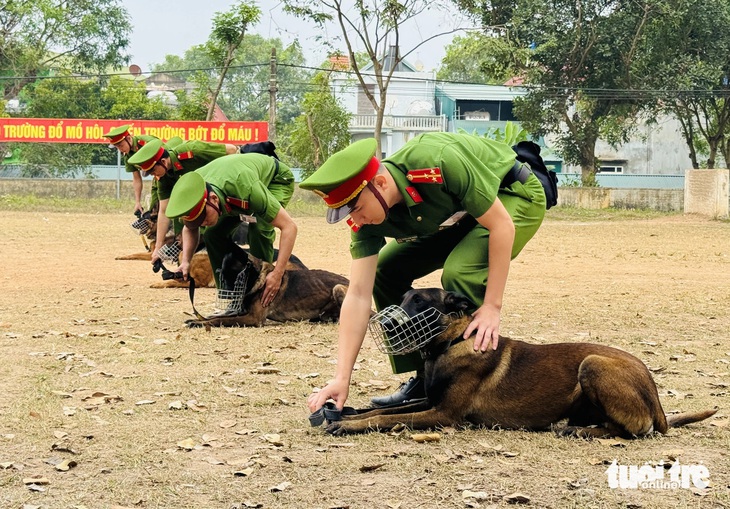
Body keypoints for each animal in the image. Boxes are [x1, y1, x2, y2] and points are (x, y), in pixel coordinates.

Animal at [186, 244, 348, 328]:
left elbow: (221, 320)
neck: (258, 279)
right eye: (222, 276)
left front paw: (199, 323)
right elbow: (216, 316)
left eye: (233, 276)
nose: (222, 294)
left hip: (338, 287)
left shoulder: (253, 318)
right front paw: (197, 320)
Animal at [326, 288, 716, 438]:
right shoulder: (431, 401)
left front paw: (345, 425)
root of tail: (657, 399)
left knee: (631, 430)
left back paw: (579, 431)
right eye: (405, 297)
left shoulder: (443, 414)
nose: (386, 324)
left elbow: (386, 419)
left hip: (592, 364)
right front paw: (346, 412)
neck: (453, 342)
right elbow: (381, 411)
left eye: (421, 302)